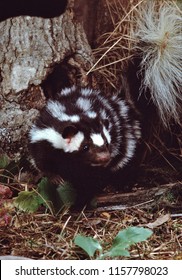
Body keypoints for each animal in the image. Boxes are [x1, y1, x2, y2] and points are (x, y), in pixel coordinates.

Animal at [28, 2, 182, 207]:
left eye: (107, 144)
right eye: (85, 147)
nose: (105, 157)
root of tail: (125, 103)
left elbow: (89, 182)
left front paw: (80, 202)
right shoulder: (45, 139)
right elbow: (41, 160)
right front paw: (55, 177)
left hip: (127, 142)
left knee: (125, 162)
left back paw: (122, 183)